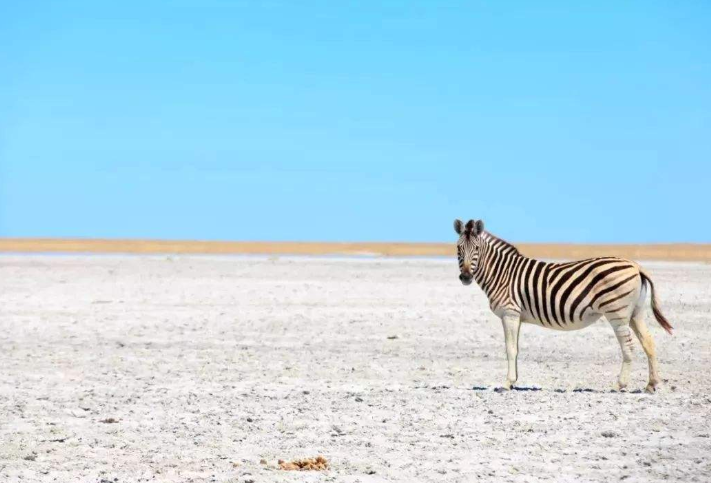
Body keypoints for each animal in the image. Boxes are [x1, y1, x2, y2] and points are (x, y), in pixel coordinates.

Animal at [456, 219, 672, 394]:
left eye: (476, 249)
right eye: (458, 249)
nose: (465, 277)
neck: (501, 273)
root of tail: (636, 265)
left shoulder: (509, 313)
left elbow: (510, 349)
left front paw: (507, 384)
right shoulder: (516, 316)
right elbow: (516, 348)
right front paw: (514, 381)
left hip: (617, 313)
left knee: (628, 346)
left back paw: (619, 385)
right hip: (636, 313)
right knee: (649, 342)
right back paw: (651, 384)